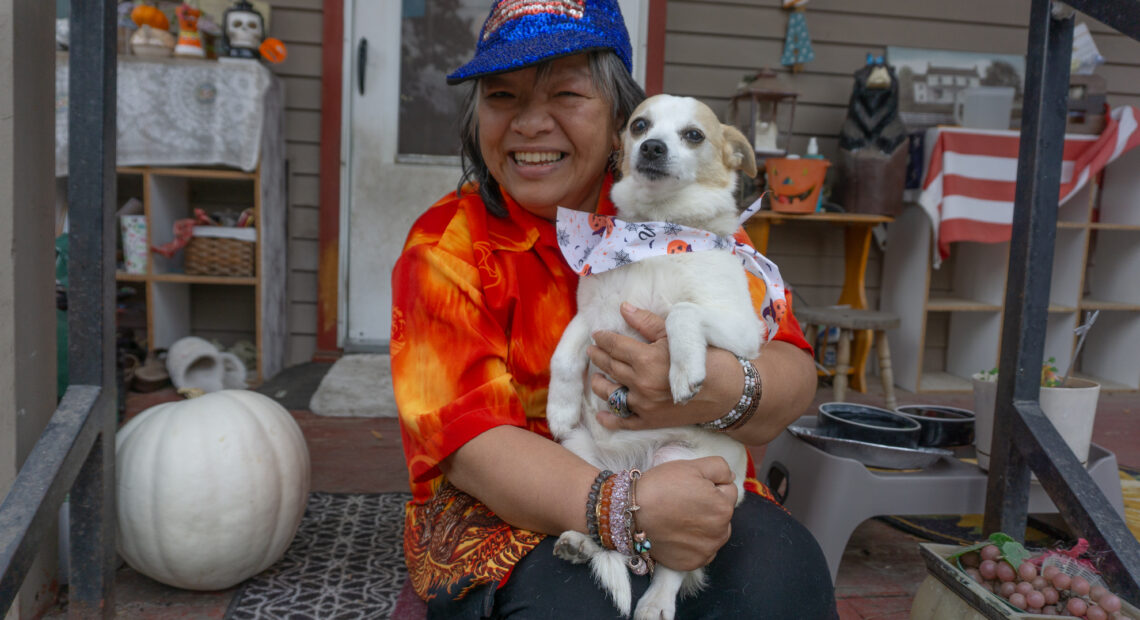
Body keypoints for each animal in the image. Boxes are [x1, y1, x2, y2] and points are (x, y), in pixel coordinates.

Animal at [542, 93, 766, 620]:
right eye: (640, 126)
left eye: (694, 135)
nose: (653, 147)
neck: (658, 234)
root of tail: (635, 467)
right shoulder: (593, 315)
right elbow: (564, 354)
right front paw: (558, 406)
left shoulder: (743, 329)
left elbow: (682, 311)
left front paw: (685, 370)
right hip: (586, 460)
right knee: (612, 515)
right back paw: (581, 541)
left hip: (685, 480)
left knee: (673, 563)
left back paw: (657, 602)